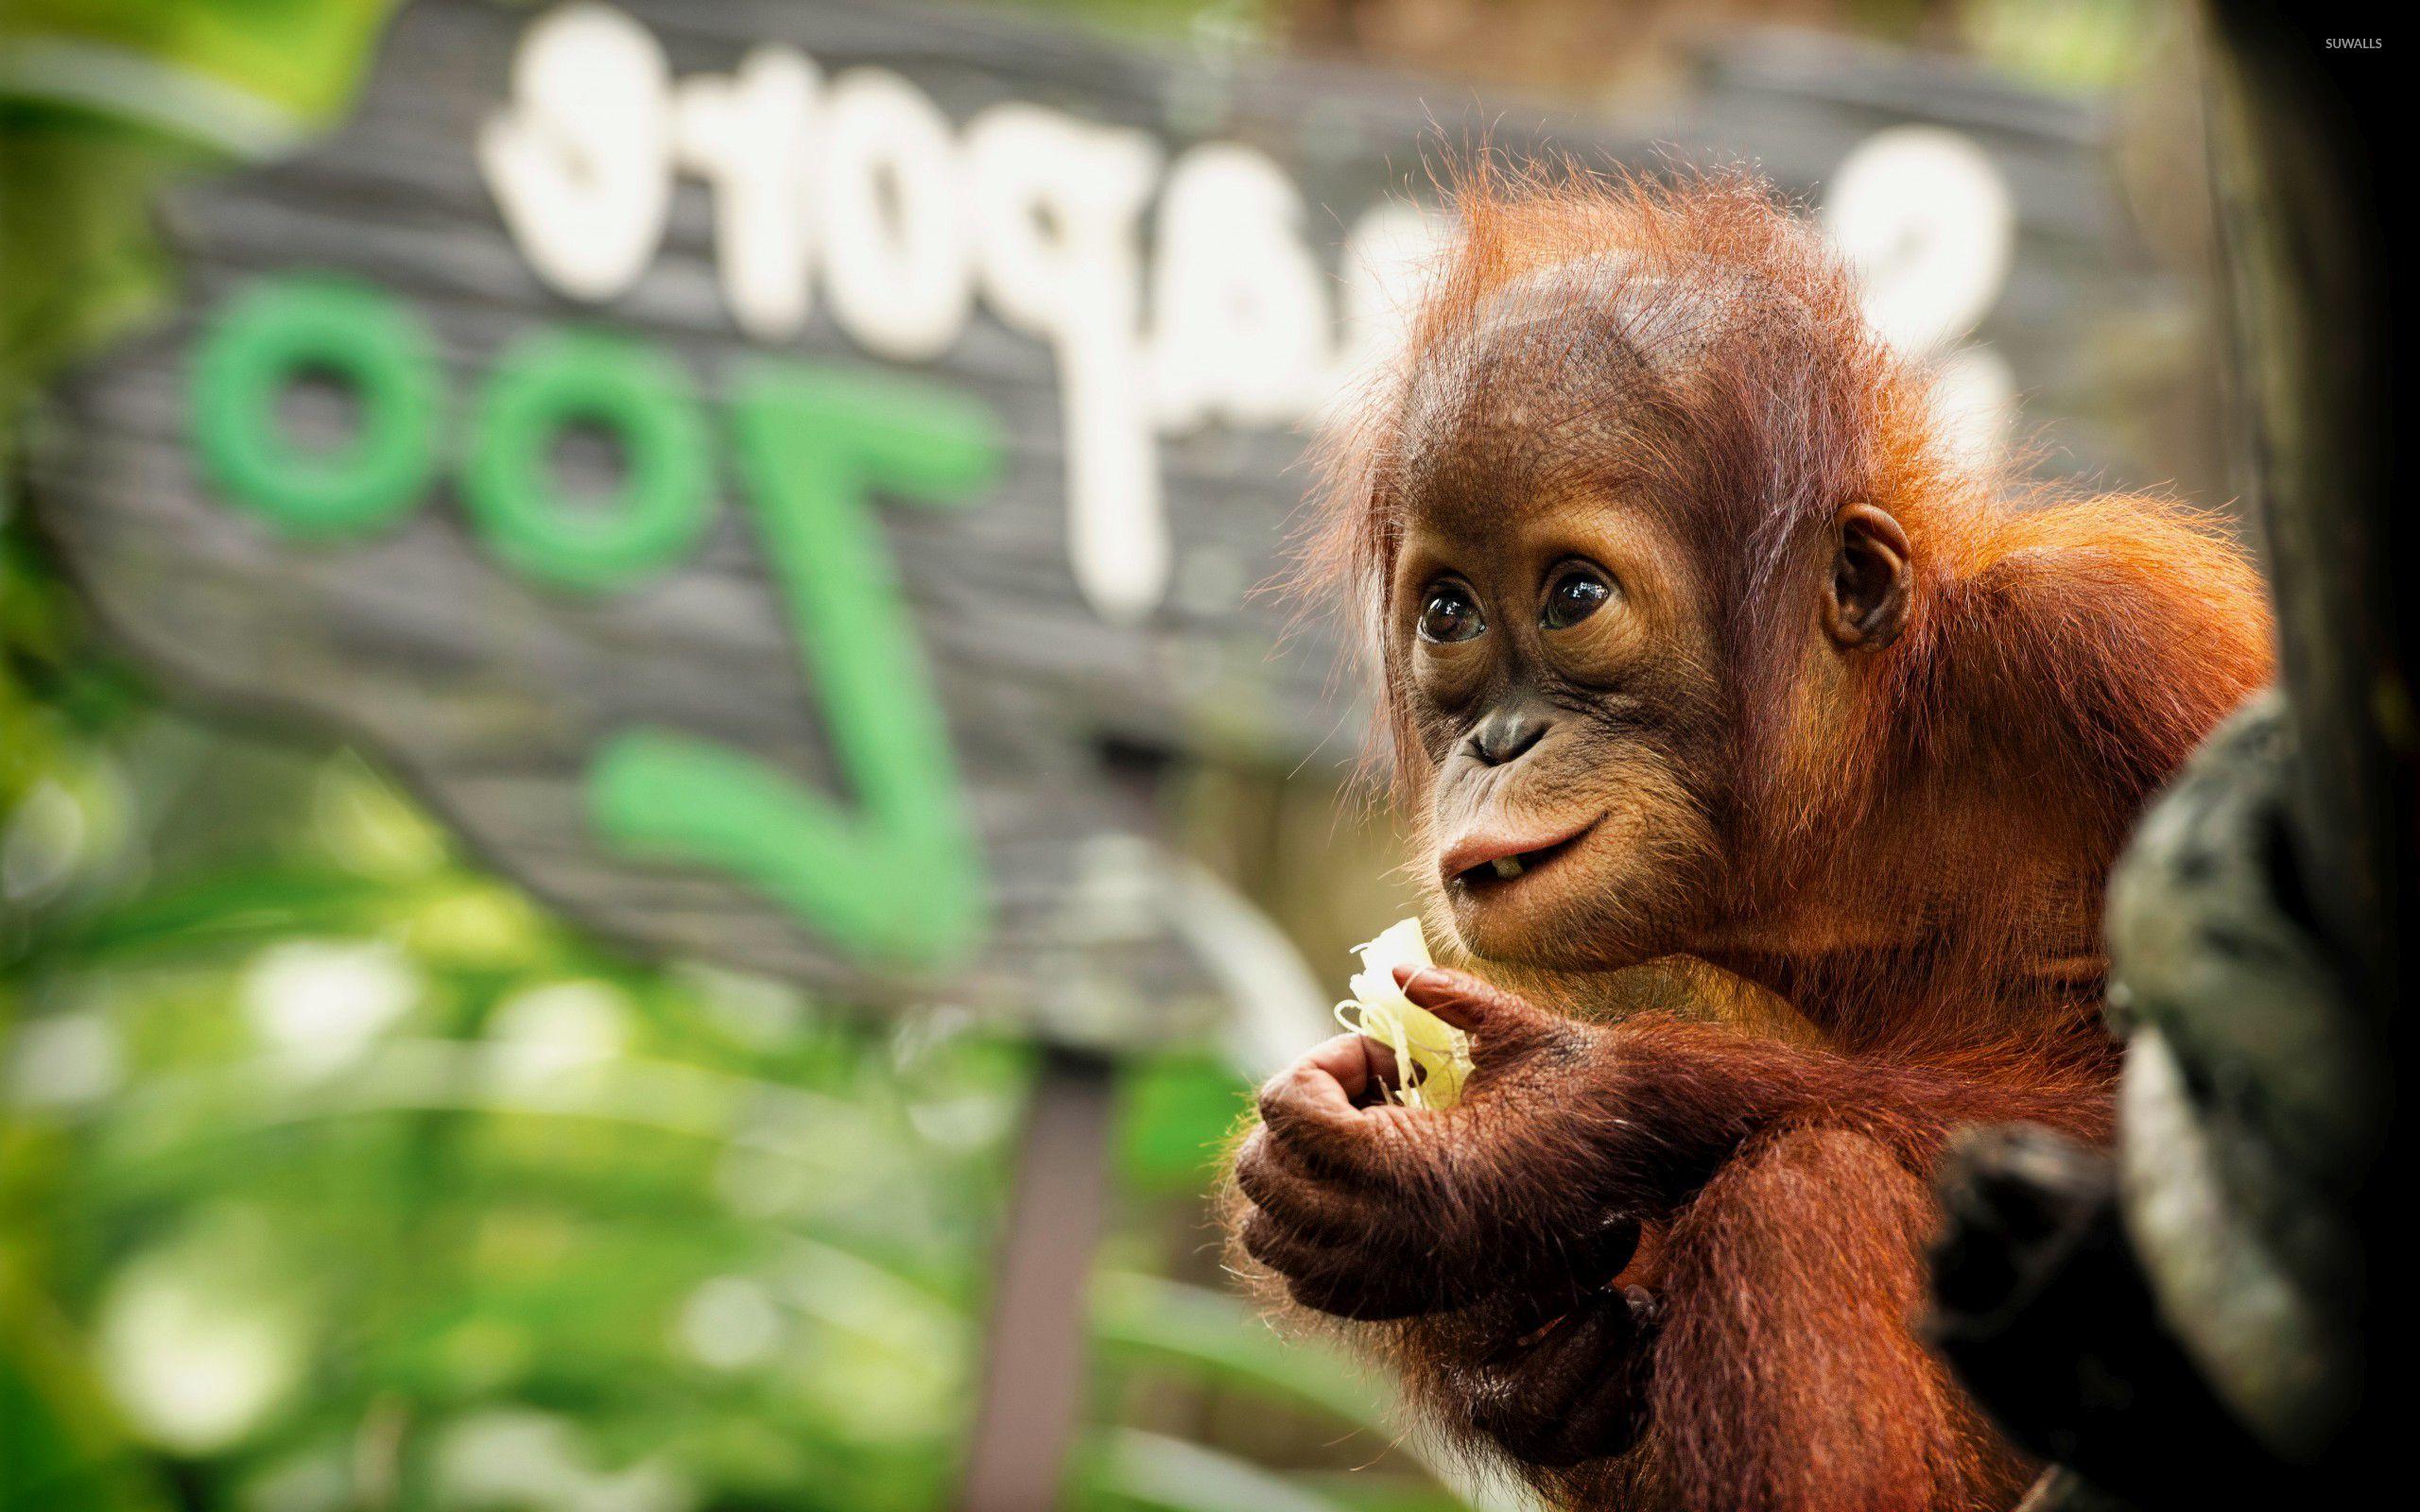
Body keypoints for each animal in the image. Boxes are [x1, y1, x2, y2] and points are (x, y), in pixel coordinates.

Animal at [1226, 169, 2274, 1511]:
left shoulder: (2128, 646)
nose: (1500, 740)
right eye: (1448, 613)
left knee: (1806, 1188)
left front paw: (1531, 1141)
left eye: (1573, 596)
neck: (1864, 794)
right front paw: (1497, 1337)